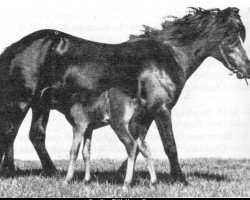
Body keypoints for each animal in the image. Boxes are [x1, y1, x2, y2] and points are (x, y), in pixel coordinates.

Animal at [0, 7, 250, 189]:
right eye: (230, 37)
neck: (167, 57)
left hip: (39, 105)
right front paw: (180, 180)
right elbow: (169, 146)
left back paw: (51, 173)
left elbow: (139, 145)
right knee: (10, 133)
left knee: (35, 136)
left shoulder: (144, 114)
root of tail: (14, 47)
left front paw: (122, 176)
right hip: (21, 102)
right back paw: (9, 173)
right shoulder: (161, 109)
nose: (246, 69)